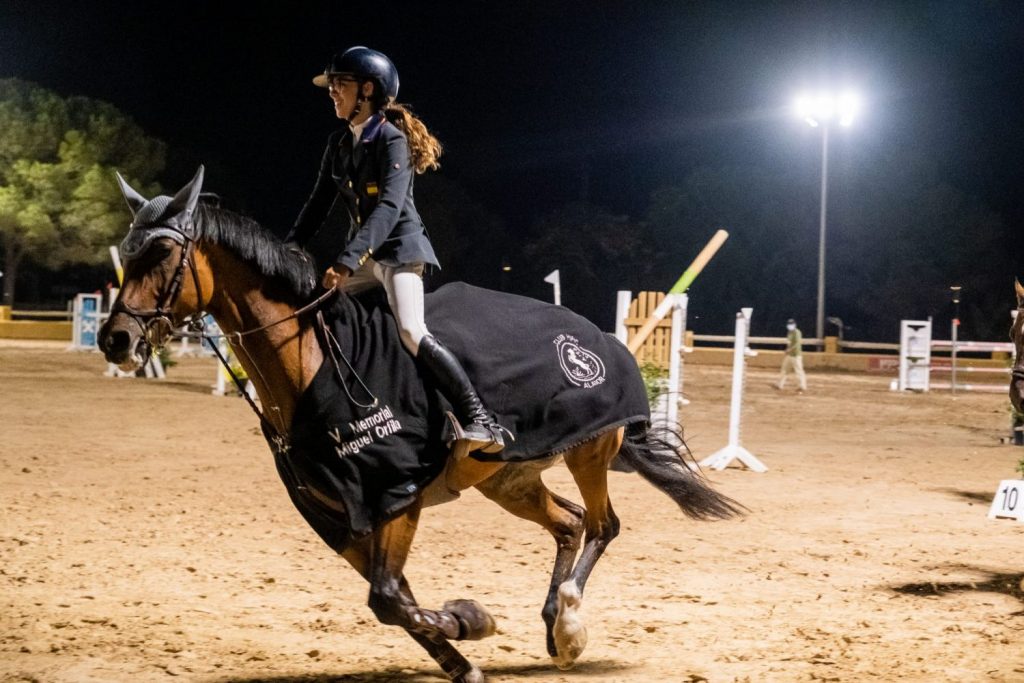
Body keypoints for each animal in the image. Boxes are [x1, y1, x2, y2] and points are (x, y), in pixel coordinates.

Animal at [99, 166, 741, 683]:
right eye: (125, 255)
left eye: (161, 256)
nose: (115, 340)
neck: (309, 364)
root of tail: (598, 337)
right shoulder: (339, 520)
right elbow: (392, 599)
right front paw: (462, 657)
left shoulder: (396, 495)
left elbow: (387, 598)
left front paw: (471, 620)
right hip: (507, 478)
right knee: (570, 522)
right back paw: (554, 623)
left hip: (588, 448)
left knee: (603, 524)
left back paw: (570, 626)